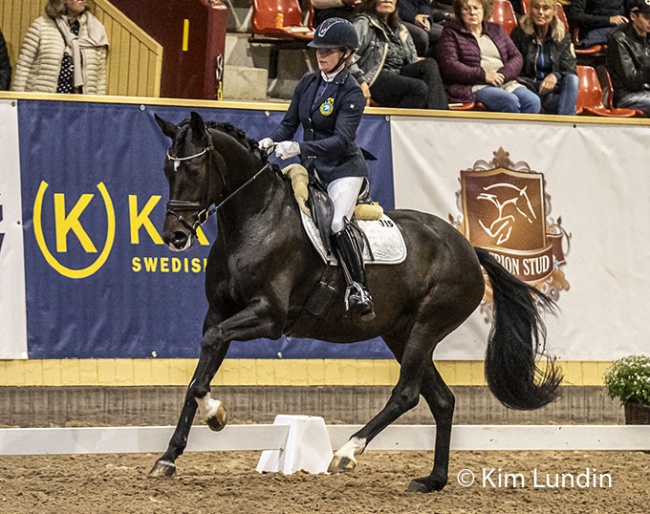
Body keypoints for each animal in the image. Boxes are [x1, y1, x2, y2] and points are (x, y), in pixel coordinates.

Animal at [149, 110, 560, 490]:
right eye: (167, 170)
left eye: (194, 170)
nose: (174, 236)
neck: (255, 218)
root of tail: (469, 249)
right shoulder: (219, 312)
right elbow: (199, 372)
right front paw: (169, 456)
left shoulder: (268, 316)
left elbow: (209, 354)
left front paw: (216, 414)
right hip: (400, 333)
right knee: (442, 400)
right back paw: (432, 480)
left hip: (427, 325)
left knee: (407, 393)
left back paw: (346, 452)